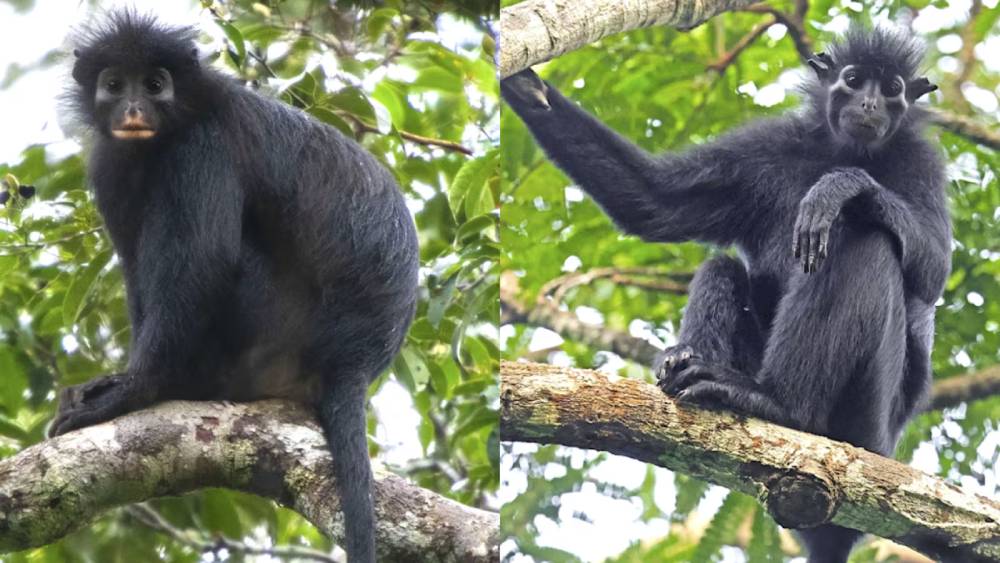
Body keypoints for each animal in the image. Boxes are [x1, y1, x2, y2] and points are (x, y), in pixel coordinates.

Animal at [53, 11, 419, 562]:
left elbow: (204, 260)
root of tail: (355, 360)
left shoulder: (203, 147)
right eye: (114, 85)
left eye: (155, 85)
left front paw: (137, 390)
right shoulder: (111, 167)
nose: (134, 108)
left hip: (270, 326)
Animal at [502, 25, 950, 563]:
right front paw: (529, 89)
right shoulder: (768, 148)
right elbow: (655, 202)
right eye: (854, 79)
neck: (845, 151)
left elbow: (933, 266)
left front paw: (839, 187)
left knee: (866, 241)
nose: (869, 104)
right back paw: (692, 365)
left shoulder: (921, 161)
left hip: (869, 420)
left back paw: (779, 403)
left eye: (892, 89)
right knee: (722, 266)